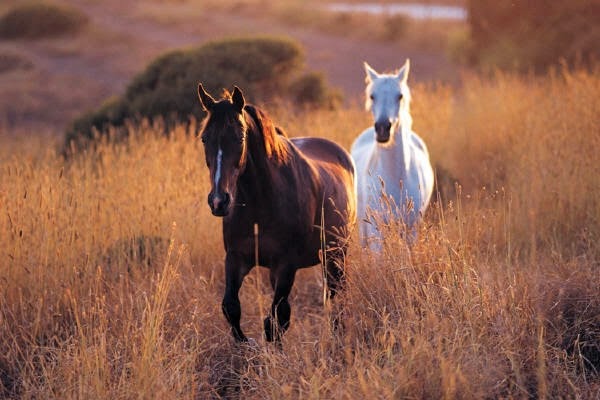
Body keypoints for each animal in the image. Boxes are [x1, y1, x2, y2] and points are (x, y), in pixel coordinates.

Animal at [197, 83, 356, 340]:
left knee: (336, 296)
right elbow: (231, 308)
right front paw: (245, 343)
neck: (260, 203)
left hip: (336, 254)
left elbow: (275, 320)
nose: (219, 201)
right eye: (204, 138)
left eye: (240, 137)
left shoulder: (285, 265)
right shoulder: (236, 258)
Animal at [350, 58, 434, 250]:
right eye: (372, 96)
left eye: (400, 96)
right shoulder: (375, 229)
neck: (396, 178)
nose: (382, 128)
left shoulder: (411, 228)